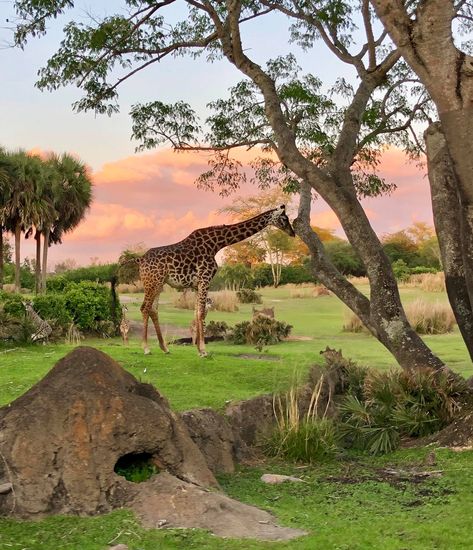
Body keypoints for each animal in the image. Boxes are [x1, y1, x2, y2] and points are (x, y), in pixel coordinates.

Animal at [135, 205, 294, 356]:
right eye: (284, 218)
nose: (292, 233)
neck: (216, 244)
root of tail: (141, 260)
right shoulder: (205, 279)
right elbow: (201, 313)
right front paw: (204, 351)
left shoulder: (197, 284)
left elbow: (197, 312)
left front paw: (199, 349)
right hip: (152, 283)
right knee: (145, 308)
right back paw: (146, 348)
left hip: (159, 284)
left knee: (153, 310)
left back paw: (164, 348)